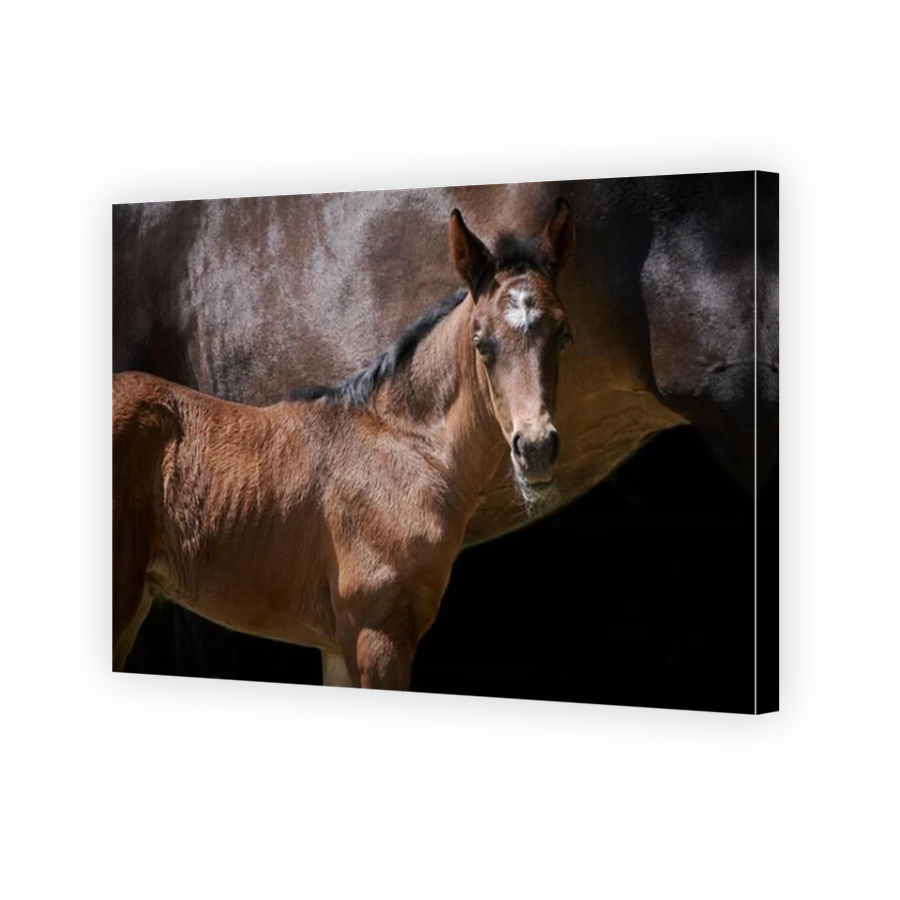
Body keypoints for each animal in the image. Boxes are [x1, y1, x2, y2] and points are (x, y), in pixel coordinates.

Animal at [113, 200, 575, 689]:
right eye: (481, 342)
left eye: (564, 335)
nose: (536, 449)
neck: (406, 451)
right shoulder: (378, 632)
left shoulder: (339, 644)